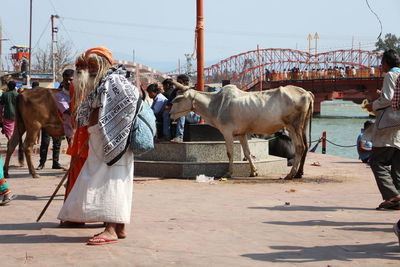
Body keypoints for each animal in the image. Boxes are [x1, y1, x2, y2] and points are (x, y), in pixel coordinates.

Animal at [170, 83, 314, 180]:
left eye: (177, 99)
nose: (170, 114)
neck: (215, 104)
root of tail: (306, 93)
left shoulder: (227, 132)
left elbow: (230, 153)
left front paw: (229, 173)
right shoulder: (241, 133)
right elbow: (247, 153)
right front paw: (253, 171)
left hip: (293, 126)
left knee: (300, 147)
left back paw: (291, 174)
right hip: (302, 127)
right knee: (306, 147)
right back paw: (299, 173)